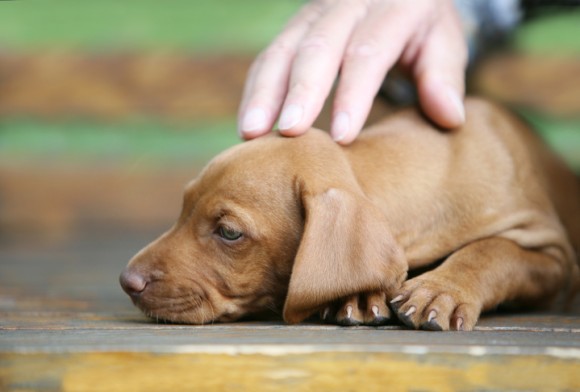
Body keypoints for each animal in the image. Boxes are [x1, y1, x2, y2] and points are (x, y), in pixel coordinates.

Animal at [119, 96, 580, 330]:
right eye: (183, 207)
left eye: (229, 233)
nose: (127, 282)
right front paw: (358, 296)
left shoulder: (553, 255)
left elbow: (493, 251)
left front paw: (442, 290)